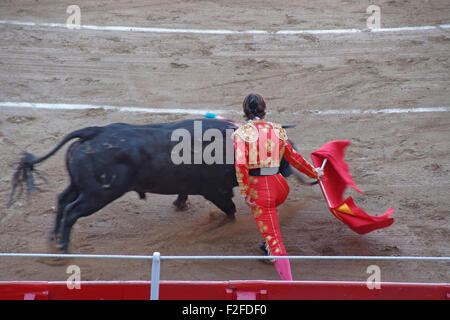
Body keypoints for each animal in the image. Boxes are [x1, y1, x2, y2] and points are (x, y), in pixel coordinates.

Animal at [8, 119, 310, 251]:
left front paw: (180, 204)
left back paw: (53, 237)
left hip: (79, 185)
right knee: (72, 210)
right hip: (97, 194)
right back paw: (62, 246)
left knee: (61, 200)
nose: (287, 172)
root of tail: (94, 131)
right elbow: (230, 209)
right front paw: (221, 226)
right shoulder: (215, 191)